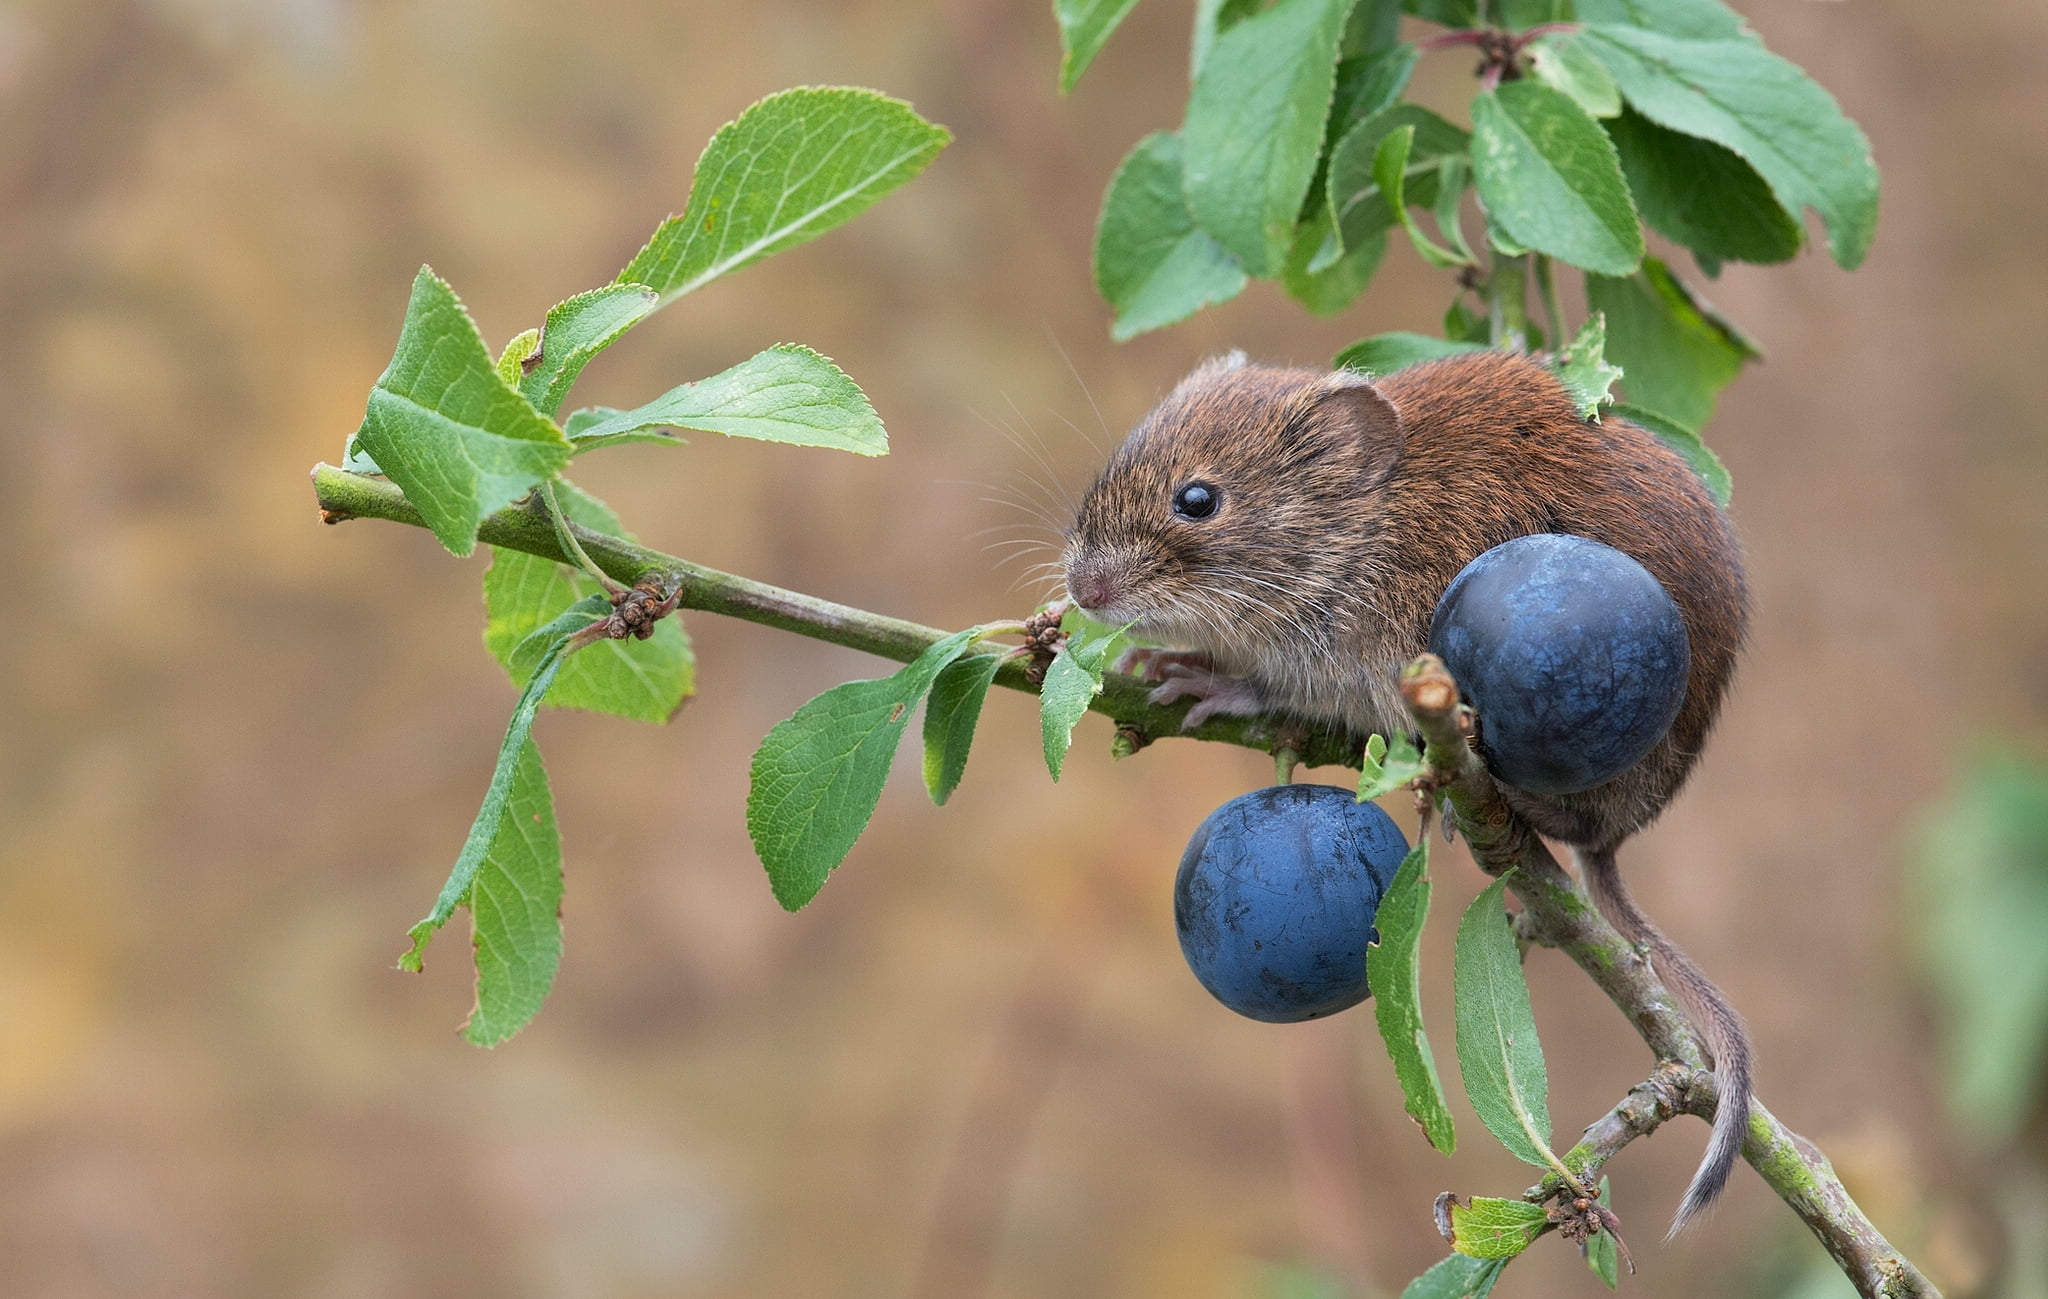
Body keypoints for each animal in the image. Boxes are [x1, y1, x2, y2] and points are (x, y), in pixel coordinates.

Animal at [1062, 349, 1750, 1233]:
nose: (1081, 590)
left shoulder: (1347, 666)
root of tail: (1615, 843)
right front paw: (1157, 661)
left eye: (1198, 500)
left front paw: (1203, 681)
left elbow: (1269, 691)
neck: (1362, 524)